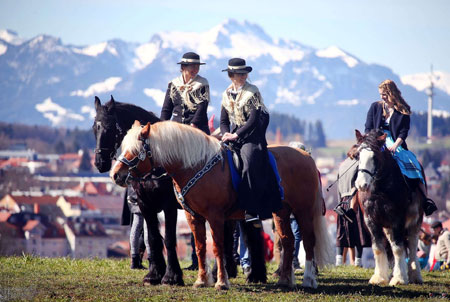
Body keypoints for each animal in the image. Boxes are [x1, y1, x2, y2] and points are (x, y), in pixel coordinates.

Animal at [92, 95, 237, 284]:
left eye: (109, 128)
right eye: (94, 128)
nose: (100, 163)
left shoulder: (169, 206)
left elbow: (168, 238)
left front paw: (171, 276)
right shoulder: (144, 205)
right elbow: (153, 237)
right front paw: (154, 274)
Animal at [110, 121, 334, 290]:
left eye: (136, 150)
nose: (116, 174)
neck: (195, 165)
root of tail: (306, 157)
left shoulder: (215, 216)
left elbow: (217, 247)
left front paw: (221, 282)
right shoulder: (193, 217)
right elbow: (200, 247)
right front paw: (201, 280)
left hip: (303, 211)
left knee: (308, 242)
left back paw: (308, 280)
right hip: (281, 211)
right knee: (288, 241)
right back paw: (285, 279)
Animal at [354, 129, 424, 286]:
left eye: (374, 156)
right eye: (358, 156)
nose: (362, 185)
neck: (380, 189)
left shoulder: (397, 219)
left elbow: (398, 248)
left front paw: (399, 279)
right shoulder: (371, 220)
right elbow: (378, 248)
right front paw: (379, 277)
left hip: (415, 220)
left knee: (412, 243)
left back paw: (414, 275)